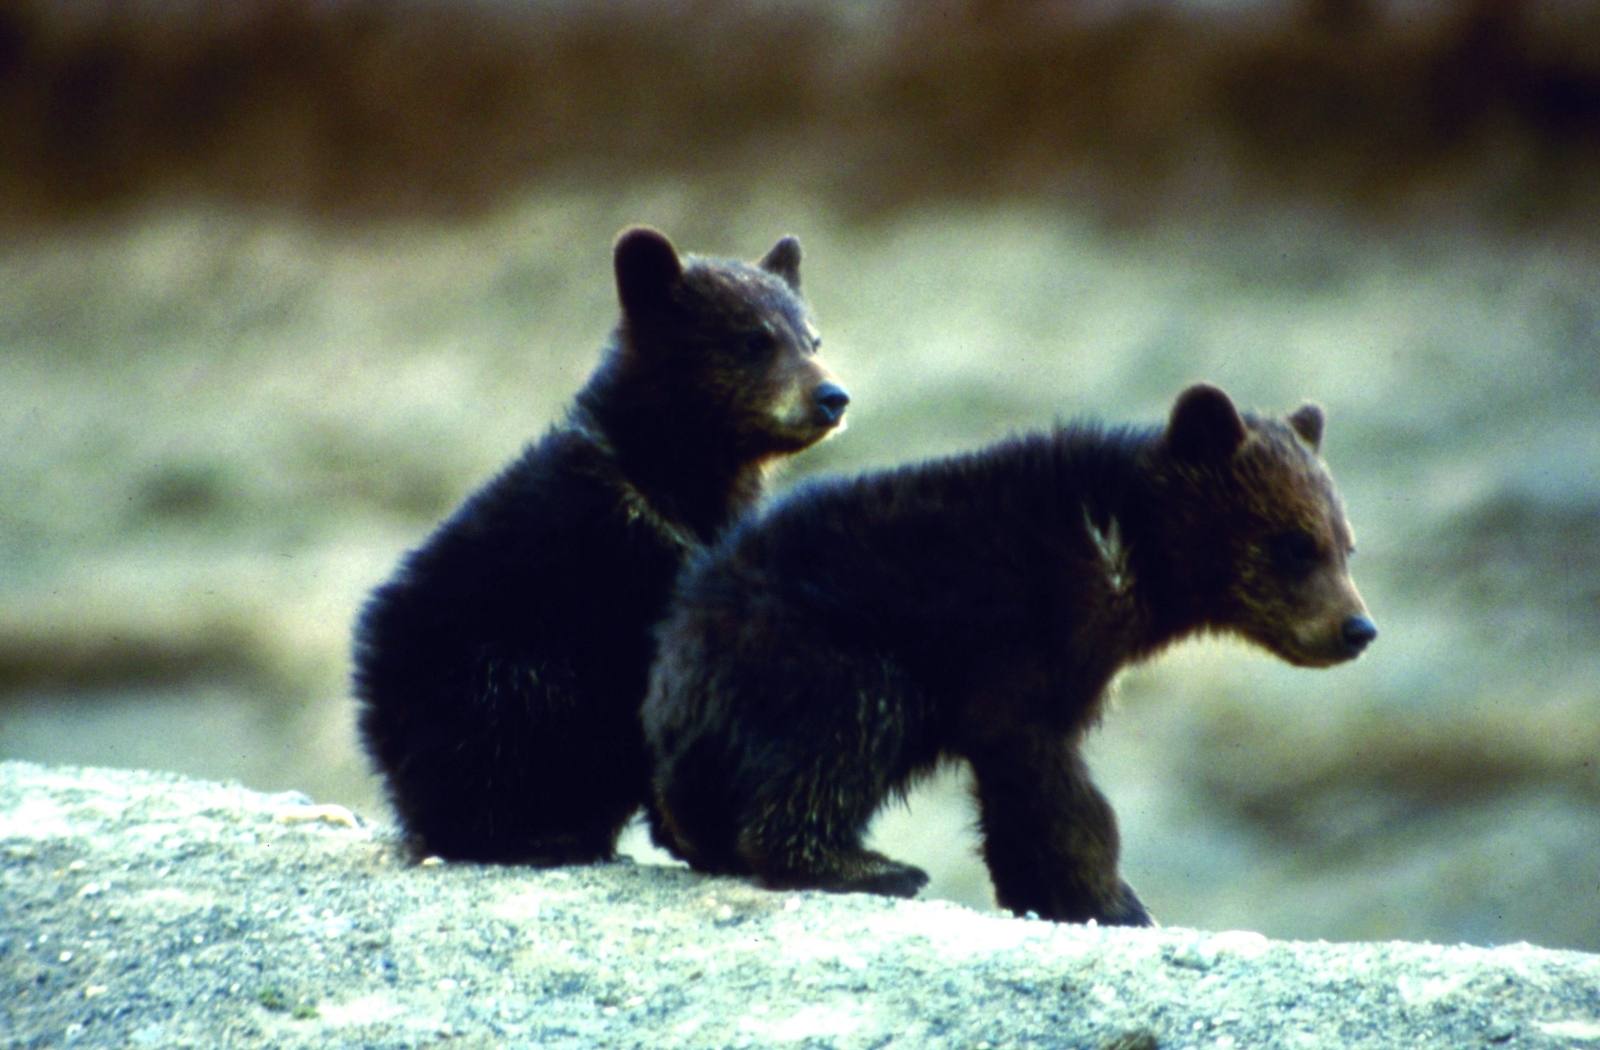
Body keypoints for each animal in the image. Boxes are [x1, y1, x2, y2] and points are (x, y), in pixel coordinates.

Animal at [354, 226, 849, 865]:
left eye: (812, 337)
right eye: (754, 340)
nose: (832, 396)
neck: (674, 480)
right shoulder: (619, 566)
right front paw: (696, 833)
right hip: (481, 669)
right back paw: (537, 833)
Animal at [642, 383, 1375, 924]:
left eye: (1346, 544)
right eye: (1296, 545)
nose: (1357, 628)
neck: (1129, 548)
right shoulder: (1027, 629)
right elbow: (1045, 772)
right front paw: (1107, 898)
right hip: (806, 645)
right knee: (849, 721)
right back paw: (871, 865)